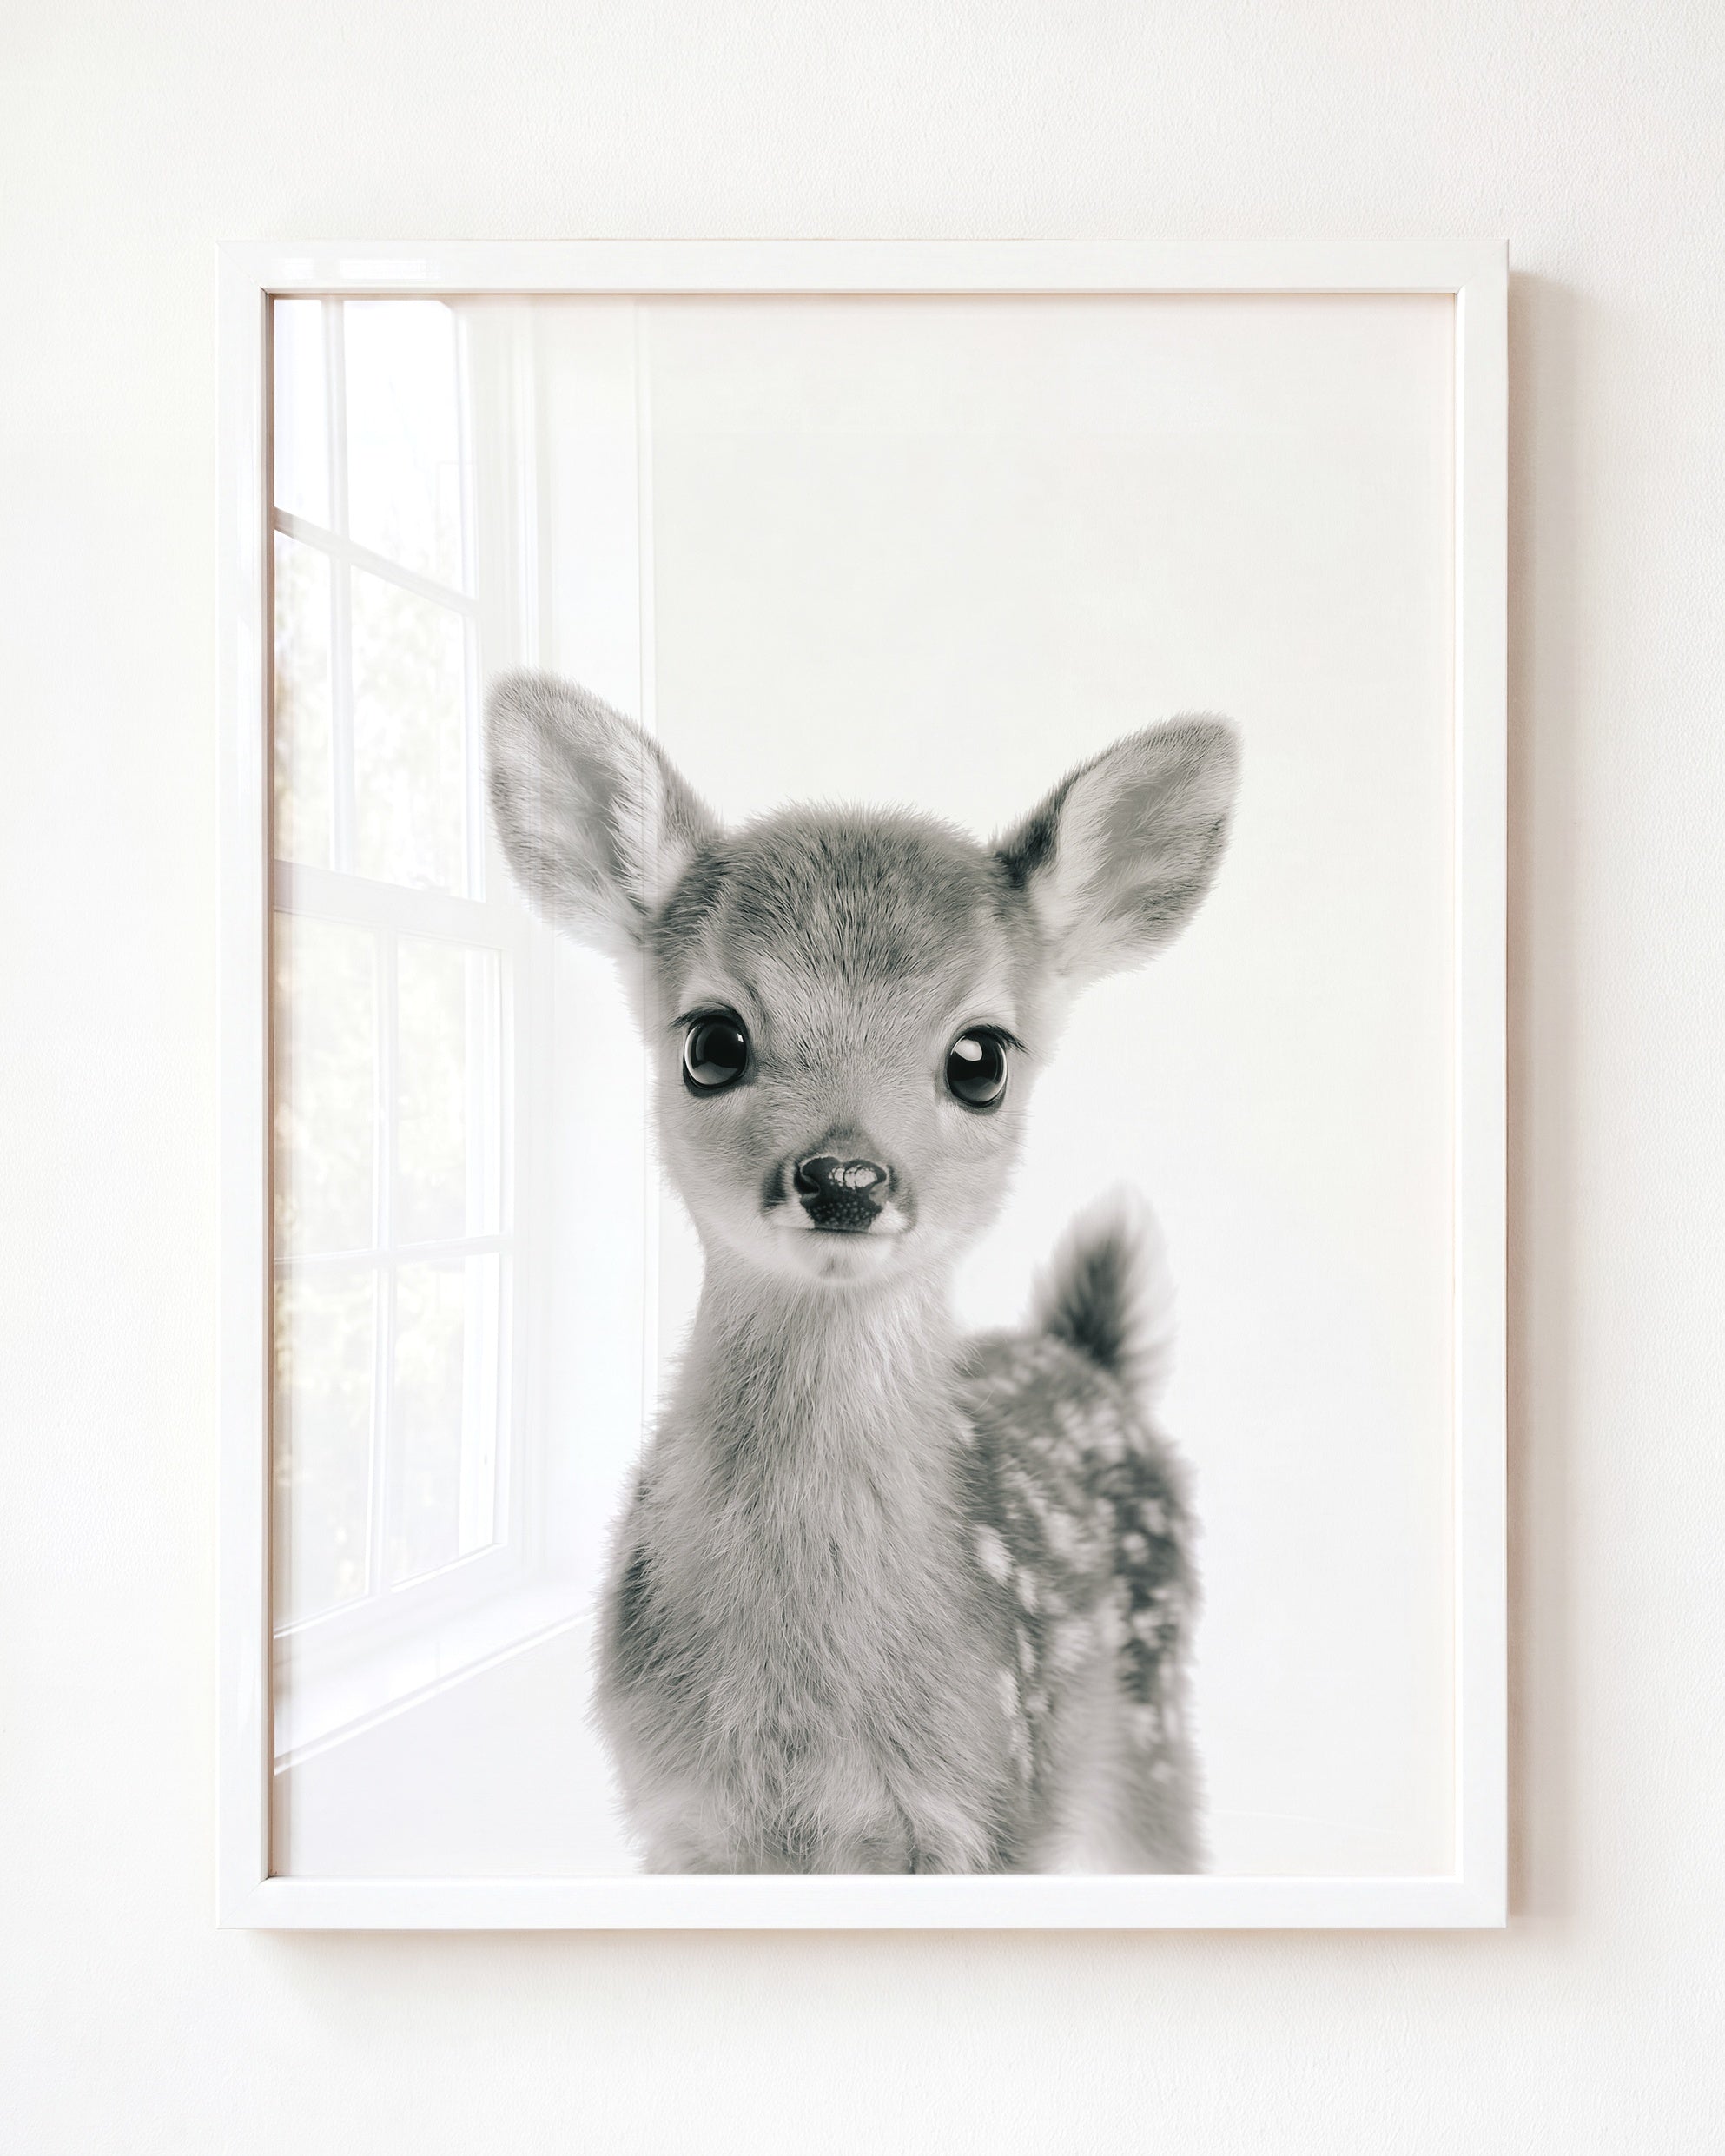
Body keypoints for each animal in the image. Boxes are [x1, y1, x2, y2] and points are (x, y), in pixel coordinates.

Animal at [486, 671, 1238, 1873]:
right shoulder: (679, 1818)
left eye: (981, 1058)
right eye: (711, 1041)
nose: (843, 1177)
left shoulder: (988, 1806)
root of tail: (1089, 1358)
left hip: (1149, 1732)